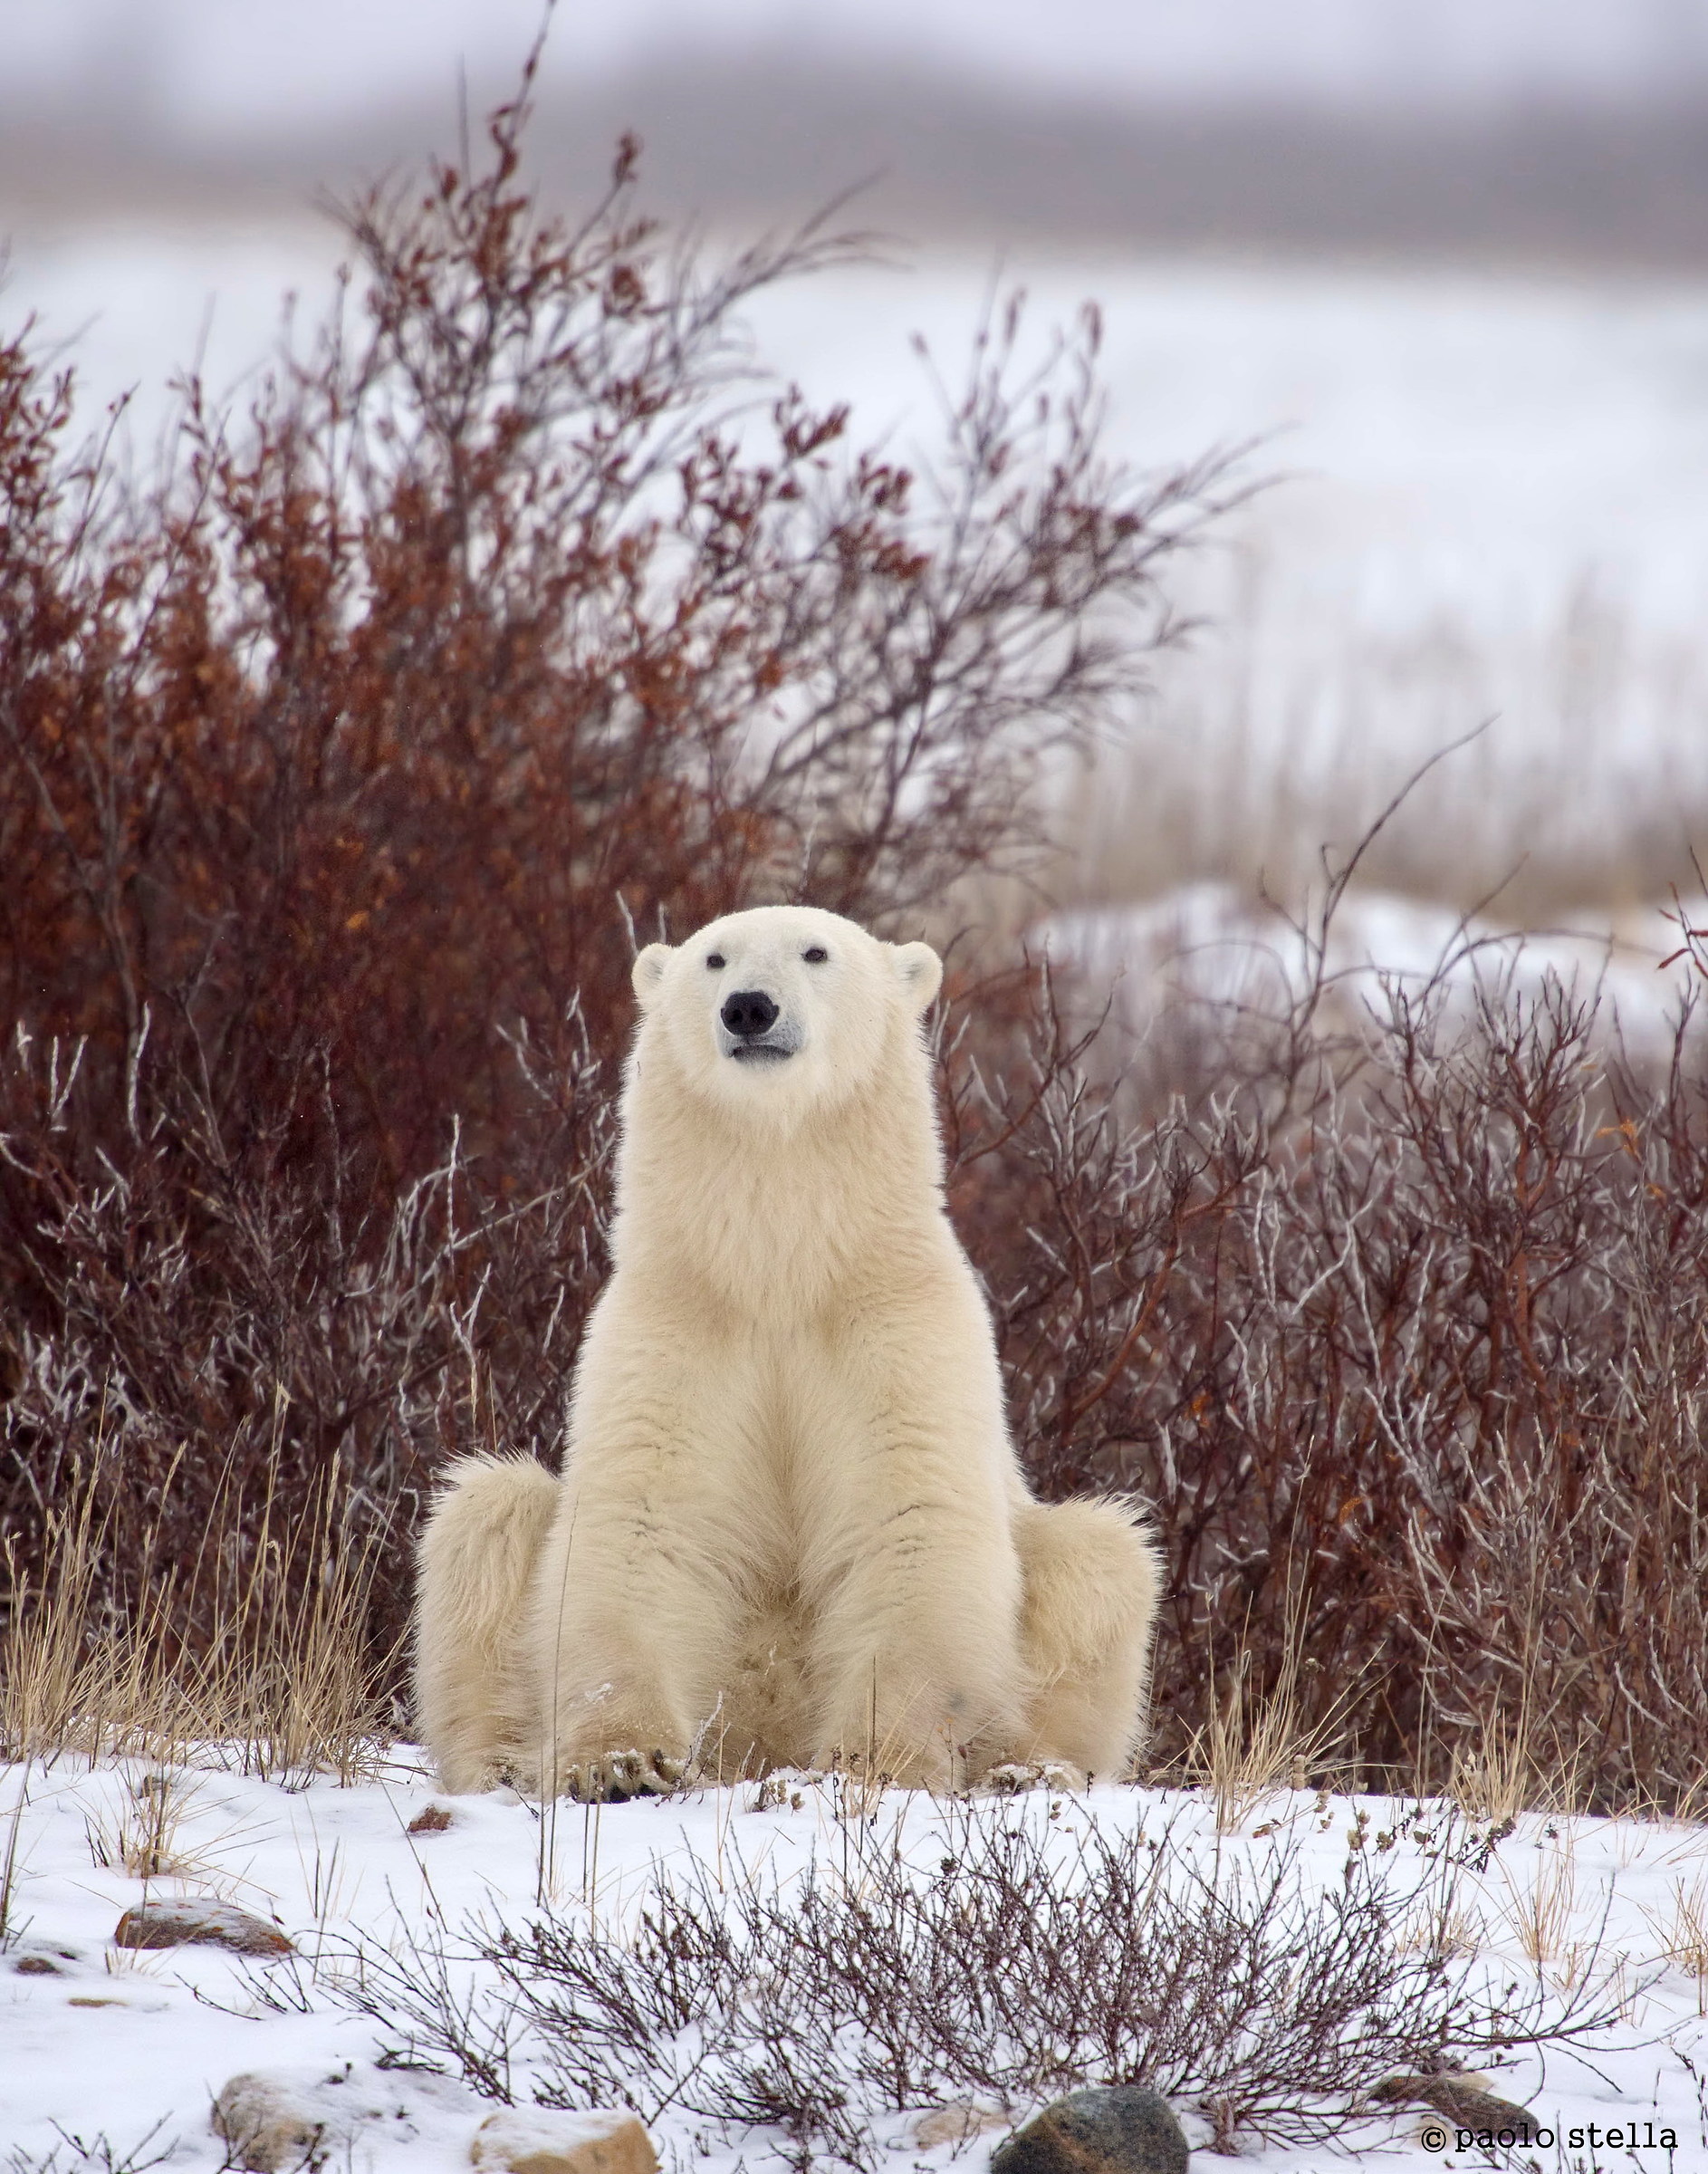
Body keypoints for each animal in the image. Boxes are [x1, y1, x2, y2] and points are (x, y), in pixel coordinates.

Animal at [413, 905, 1159, 1797]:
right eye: (713, 957)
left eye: (815, 951)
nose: (749, 1008)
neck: (781, 1270)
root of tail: (763, 1738)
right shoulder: (682, 1319)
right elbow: (642, 1519)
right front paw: (621, 1762)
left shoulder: (894, 1322)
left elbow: (912, 1518)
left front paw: (879, 1762)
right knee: (485, 1515)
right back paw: (503, 1764)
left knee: (1101, 1557)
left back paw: (1028, 1769)